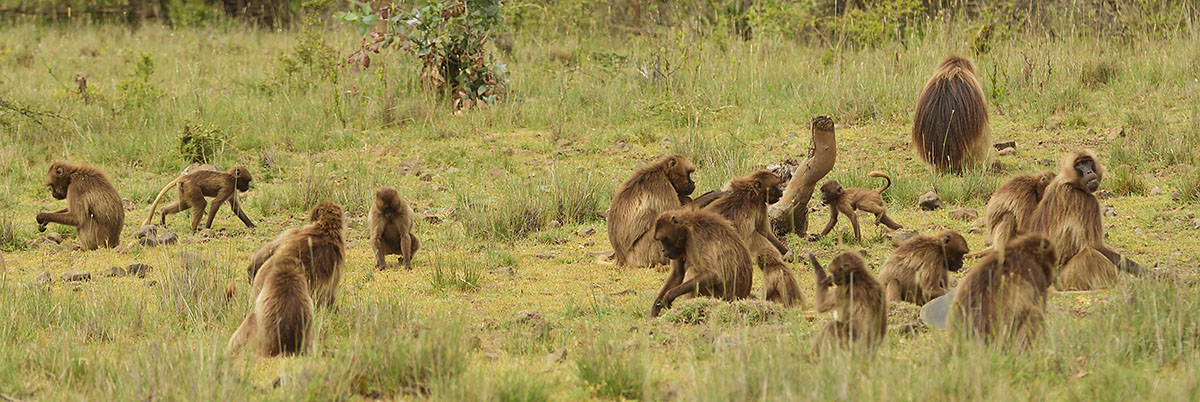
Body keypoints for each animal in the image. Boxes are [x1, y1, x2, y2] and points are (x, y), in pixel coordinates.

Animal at [1024, 150, 1143, 291]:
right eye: (1079, 165)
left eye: (1088, 162)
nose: (1089, 172)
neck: (1070, 182)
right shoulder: (1088, 202)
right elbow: (1097, 247)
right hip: (1066, 279)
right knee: (1090, 254)